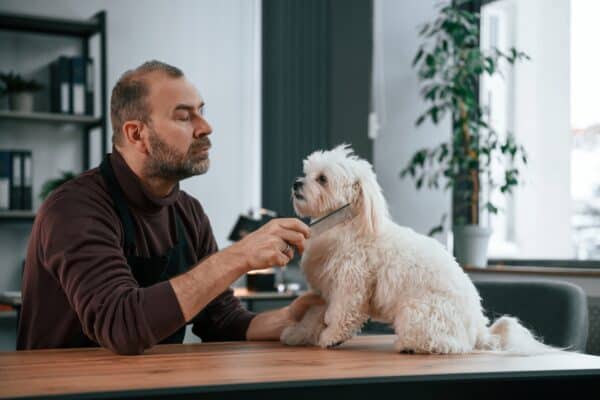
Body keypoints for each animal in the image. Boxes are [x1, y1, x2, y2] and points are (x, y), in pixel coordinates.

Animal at [282, 144, 552, 354]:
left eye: (322, 179)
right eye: (306, 172)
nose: (295, 183)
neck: (345, 225)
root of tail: (479, 329)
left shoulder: (351, 285)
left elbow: (342, 315)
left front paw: (330, 338)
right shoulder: (326, 290)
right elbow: (313, 315)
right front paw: (297, 333)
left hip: (417, 312)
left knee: (450, 344)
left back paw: (410, 345)